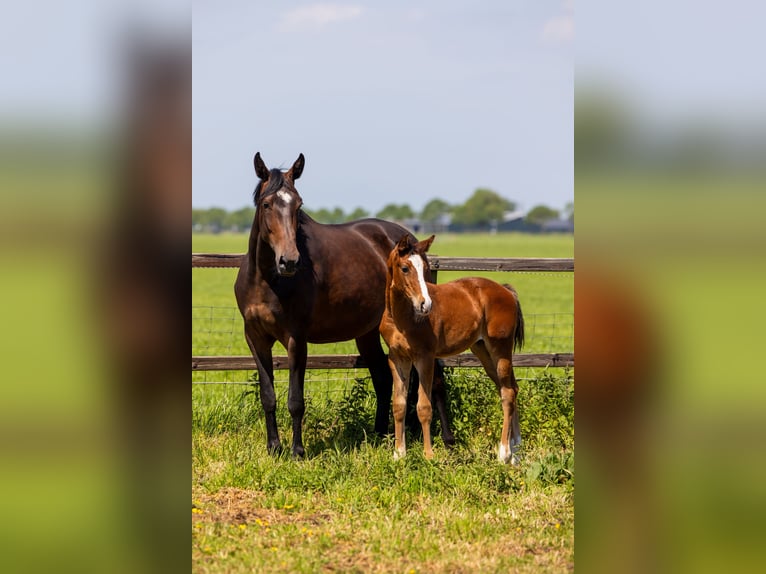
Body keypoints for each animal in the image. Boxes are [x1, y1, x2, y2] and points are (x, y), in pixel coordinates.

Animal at [234, 152, 454, 457]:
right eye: (266, 204)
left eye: (298, 204)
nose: (289, 261)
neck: (268, 280)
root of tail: (411, 241)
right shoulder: (255, 338)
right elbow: (268, 395)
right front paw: (274, 448)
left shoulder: (295, 339)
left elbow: (295, 399)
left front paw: (298, 451)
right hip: (368, 333)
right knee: (384, 379)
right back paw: (379, 434)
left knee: (435, 381)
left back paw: (447, 439)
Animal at [380, 234, 525, 464]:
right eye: (405, 268)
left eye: (425, 267)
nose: (425, 305)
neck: (401, 318)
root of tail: (506, 291)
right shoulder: (397, 358)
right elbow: (399, 404)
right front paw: (399, 454)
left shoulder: (425, 357)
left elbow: (424, 406)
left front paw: (428, 455)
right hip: (483, 351)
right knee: (511, 388)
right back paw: (516, 452)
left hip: (500, 347)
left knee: (508, 392)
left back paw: (504, 453)